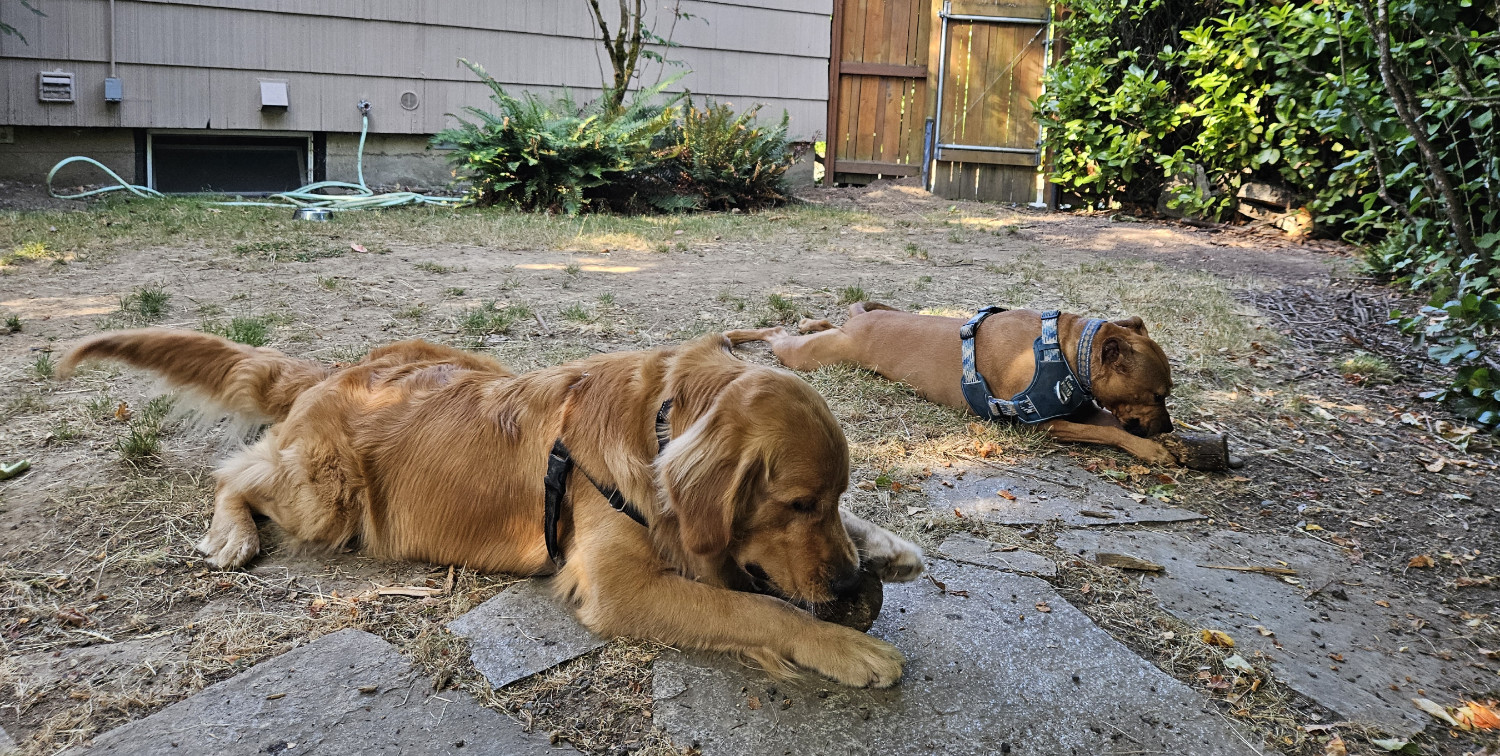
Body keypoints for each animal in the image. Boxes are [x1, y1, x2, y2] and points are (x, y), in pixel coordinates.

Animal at [61, 330, 924, 684]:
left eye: (833, 497)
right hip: (327, 495)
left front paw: (884, 543)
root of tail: (341, 372)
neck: (658, 419)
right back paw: (231, 534)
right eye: (796, 503)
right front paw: (846, 647)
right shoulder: (621, 586)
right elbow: (757, 609)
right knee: (236, 469)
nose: (847, 587)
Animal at [729, 304, 1182, 465]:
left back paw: (809, 320)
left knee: (834, 316)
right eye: (1158, 394)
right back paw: (739, 336)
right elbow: (1111, 434)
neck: (1068, 350)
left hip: (844, 330)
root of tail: (864, 323)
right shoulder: (1048, 424)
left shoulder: (1086, 408)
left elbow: (1114, 427)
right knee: (776, 335)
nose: (1169, 426)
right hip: (812, 355)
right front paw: (1154, 449)